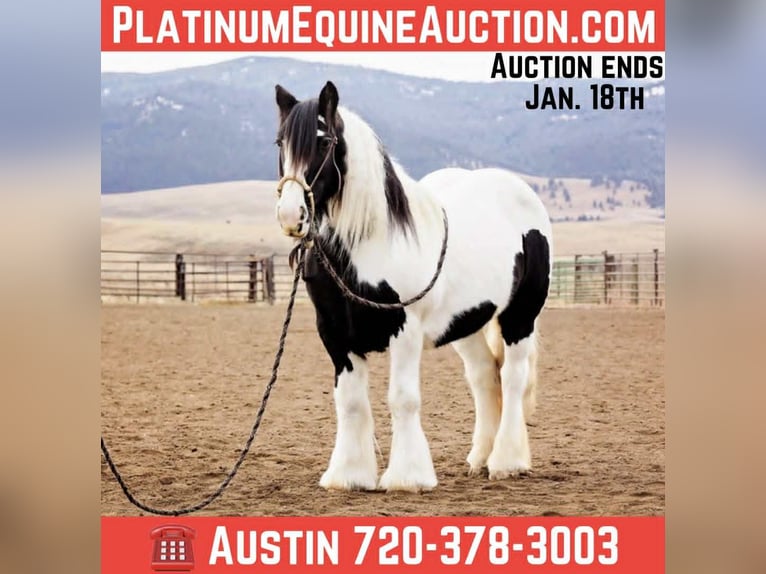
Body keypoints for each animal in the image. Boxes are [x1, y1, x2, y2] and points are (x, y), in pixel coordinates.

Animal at [273, 81, 553, 492]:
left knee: (512, 378)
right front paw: (348, 475)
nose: (292, 216)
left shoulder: (404, 331)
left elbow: (402, 399)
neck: (371, 244)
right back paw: (480, 458)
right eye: (281, 143)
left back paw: (506, 461)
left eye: (323, 142)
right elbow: (350, 402)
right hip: (466, 324)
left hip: (520, 316)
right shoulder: (335, 336)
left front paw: (408, 477)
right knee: (484, 377)